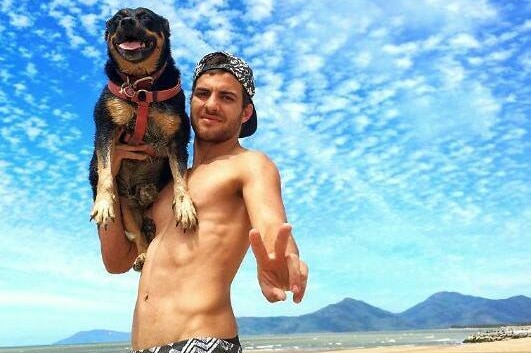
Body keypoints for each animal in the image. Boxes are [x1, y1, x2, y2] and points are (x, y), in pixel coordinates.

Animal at [89, 7, 197, 272]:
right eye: (116, 20)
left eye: (146, 17)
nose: (126, 22)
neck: (140, 87)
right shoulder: (105, 126)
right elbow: (105, 171)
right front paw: (103, 204)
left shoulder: (177, 138)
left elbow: (181, 178)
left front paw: (185, 207)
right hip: (126, 207)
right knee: (138, 233)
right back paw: (142, 256)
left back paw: (147, 191)